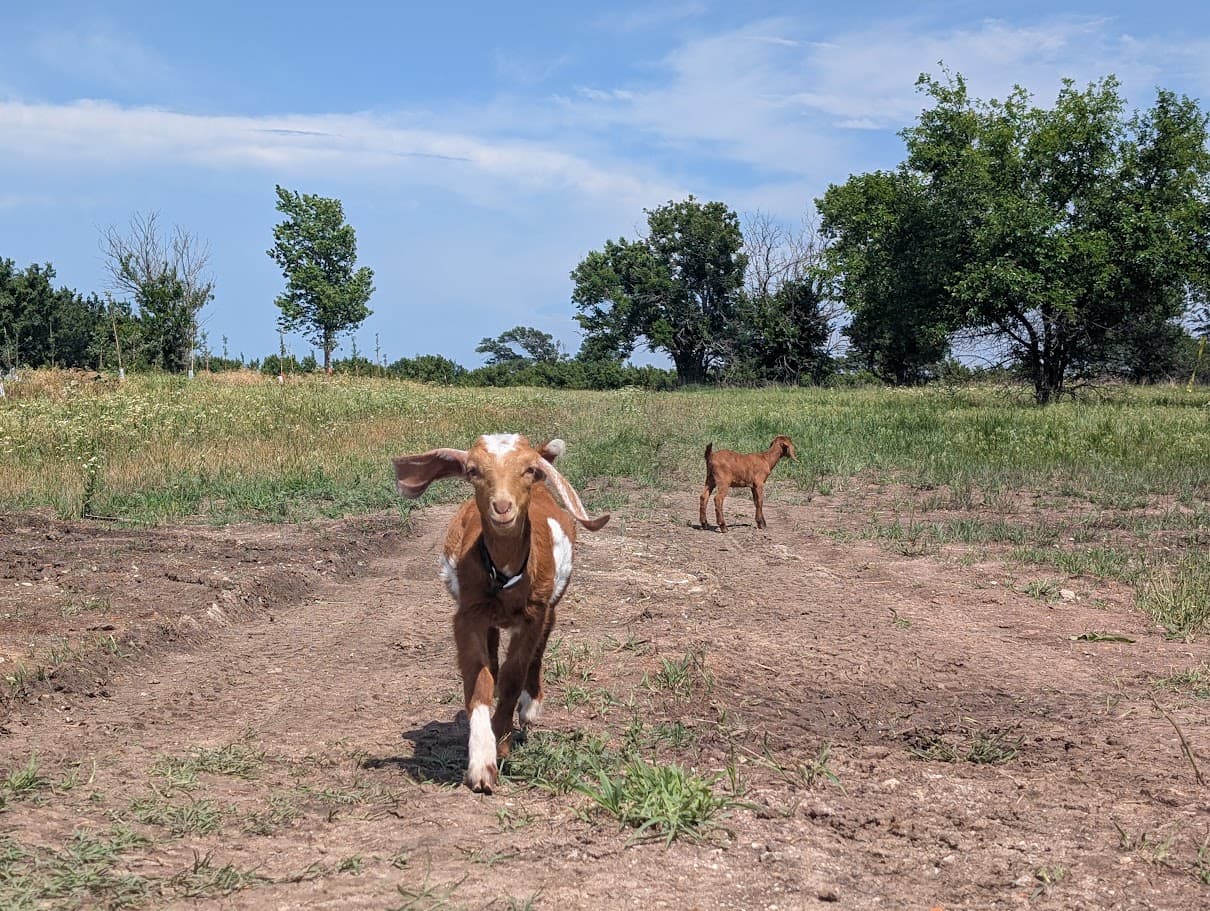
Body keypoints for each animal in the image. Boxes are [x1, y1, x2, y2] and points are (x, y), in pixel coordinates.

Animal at [392, 434, 608, 792]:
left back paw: (531, 705)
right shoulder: (468, 615)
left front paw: (504, 739)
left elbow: (513, 676)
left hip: (553, 604)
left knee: (540, 648)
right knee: (493, 655)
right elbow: (479, 678)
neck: (505, 574)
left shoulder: (534, 615)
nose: (503, 507)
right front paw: (483, 761)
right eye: (473, 470)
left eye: (529, 469)